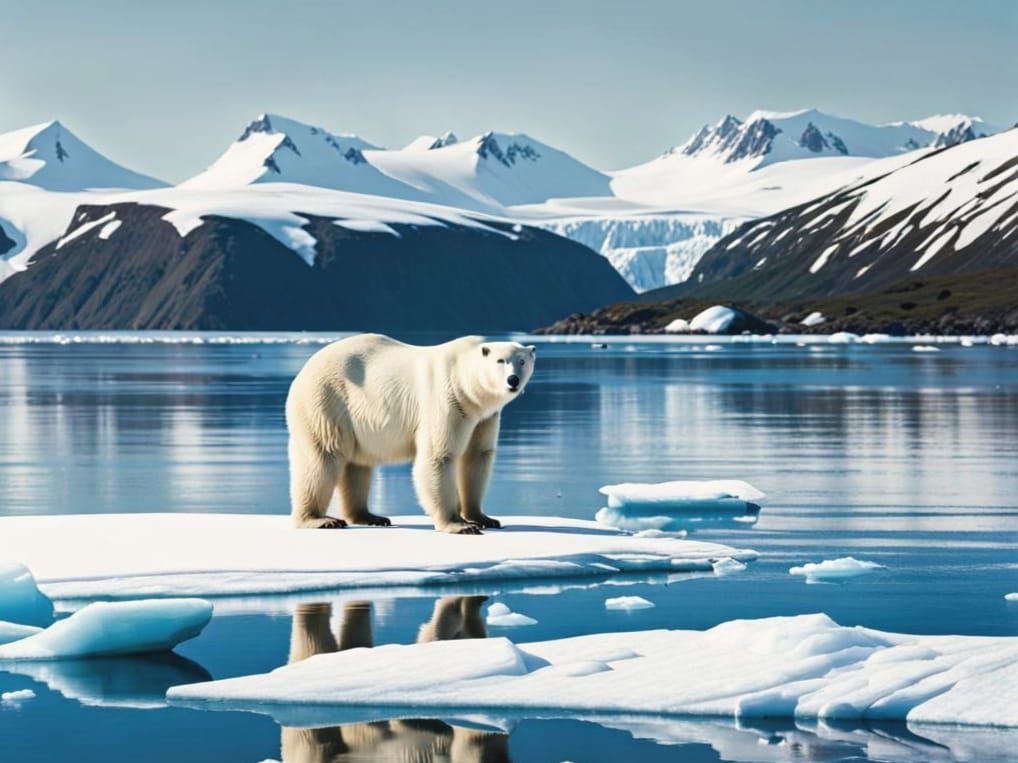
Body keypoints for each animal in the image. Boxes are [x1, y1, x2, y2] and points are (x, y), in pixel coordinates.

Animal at [285, 333, 535, 533]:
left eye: (522, 361)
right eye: (500, 360)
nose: (513, 380)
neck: (464, 380)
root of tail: (303, 371)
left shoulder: (484, 417)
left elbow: (477, 456)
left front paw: (484, 518)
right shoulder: (447, 399)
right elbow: (439, 456)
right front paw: (460, 525)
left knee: (357, 465)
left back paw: (371, 516)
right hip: (328, 400)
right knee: (323, 456)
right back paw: (320, 519)